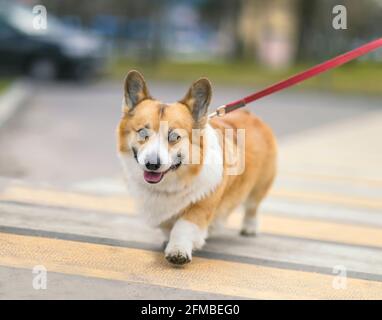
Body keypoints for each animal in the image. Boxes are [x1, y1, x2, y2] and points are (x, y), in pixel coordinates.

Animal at [118, 71, 276, 266]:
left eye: (174, 137)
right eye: (142, 133)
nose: (152, 164)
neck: (172, 182)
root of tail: (251, 115)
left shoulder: (202, 205)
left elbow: (183, 227)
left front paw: (178, 250)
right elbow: (168, 225)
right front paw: (168, 240)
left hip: (260, 186)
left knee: (252, 207)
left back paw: (249, 228)